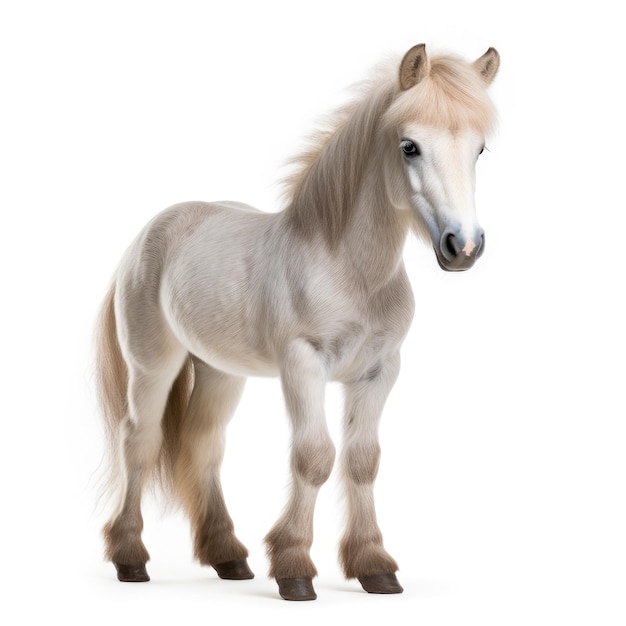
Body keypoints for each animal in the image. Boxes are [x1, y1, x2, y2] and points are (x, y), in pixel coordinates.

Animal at [96, 44, 498, 600]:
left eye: (480, 149)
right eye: (410, 146)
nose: (464, 247)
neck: (348, 268)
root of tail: (145, 237)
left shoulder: (380, 371)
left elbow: (362, 461)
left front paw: (374, 565)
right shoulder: (303, 365)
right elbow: (314, 457)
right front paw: (293, 568)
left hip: (222, 372)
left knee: (203, 443)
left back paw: (229, 557)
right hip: (152, 365)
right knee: (139, 441)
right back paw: (130, 558)